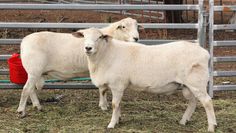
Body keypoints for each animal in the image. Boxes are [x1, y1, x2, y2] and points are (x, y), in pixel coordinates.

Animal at [73, 27, 218, 132]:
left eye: (100, 37)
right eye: (84, 36)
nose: (88, 48)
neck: (106, 54)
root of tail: (205, 52)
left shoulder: (117, 84)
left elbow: (114, 104)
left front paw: (111, 124)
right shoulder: (119, 86)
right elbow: (118, 104)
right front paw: (118, 120)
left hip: (196, 82)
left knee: (207, 102)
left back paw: (211, 126)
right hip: (187, 85)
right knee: (193, 102)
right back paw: (183, 121)